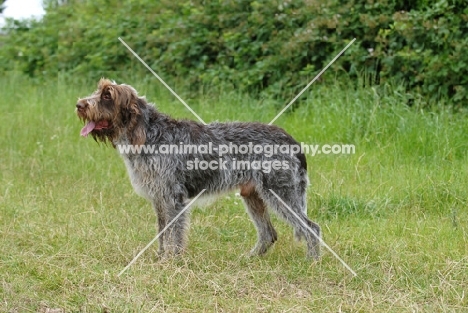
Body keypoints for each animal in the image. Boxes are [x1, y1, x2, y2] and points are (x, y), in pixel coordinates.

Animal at [76, 78, 322, 258]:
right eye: (99, 90)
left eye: (107, 95)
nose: (79, 105)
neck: (149, 134)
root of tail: (292, 141)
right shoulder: (160, 199)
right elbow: (162, 232)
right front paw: (160, 258)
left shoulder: (173, 198)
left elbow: (174, 233)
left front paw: (170, 261)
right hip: (253, 195)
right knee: (269, 233)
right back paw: (250, 258)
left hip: (280, 193)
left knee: (311, 228)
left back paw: (312, 261)